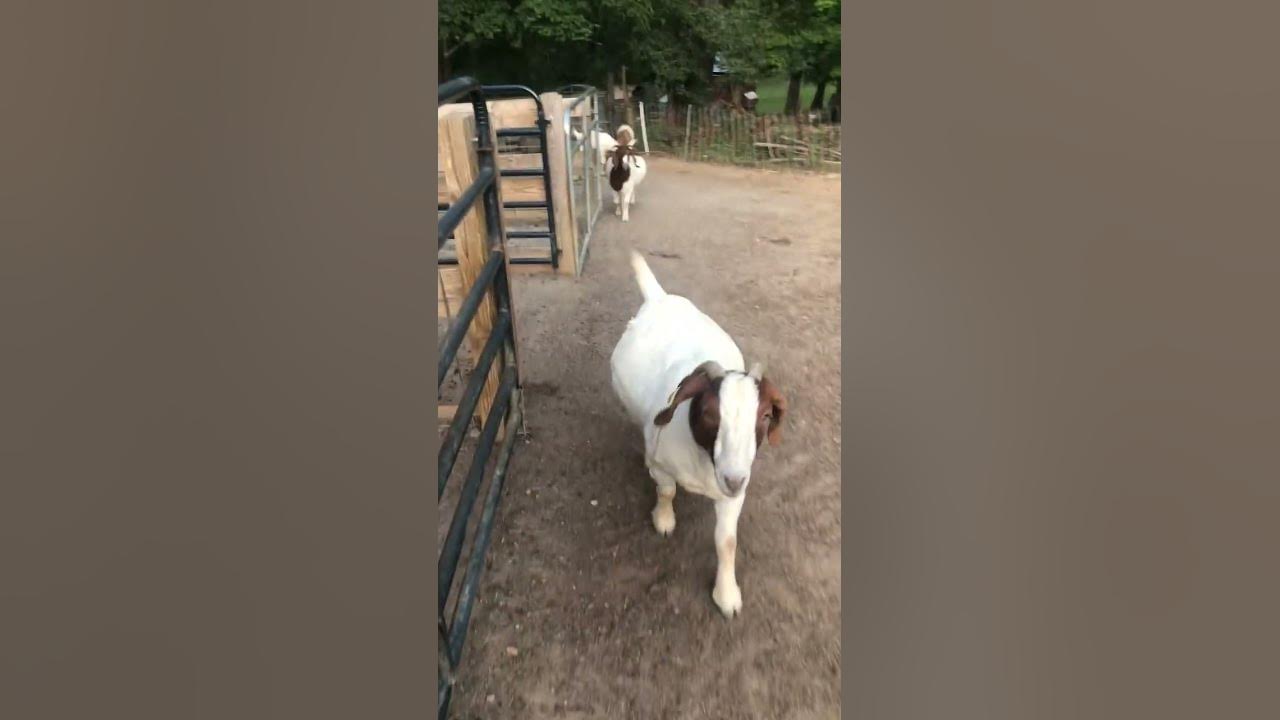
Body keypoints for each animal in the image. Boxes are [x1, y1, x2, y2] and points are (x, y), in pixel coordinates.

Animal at [609, 252, 787, 618]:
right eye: (708, 412)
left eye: (765, 416)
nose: (733, 479)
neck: (702, 460)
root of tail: (659, 298)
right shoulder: (661, 465)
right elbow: (666, 491)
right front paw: (664, 520)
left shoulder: (734, 496)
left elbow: (727, 541)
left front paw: (727, 596)